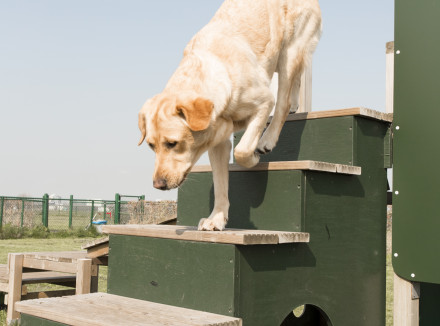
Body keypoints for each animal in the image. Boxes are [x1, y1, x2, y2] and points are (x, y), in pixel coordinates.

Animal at [139, 0, 322, 229]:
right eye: (150, 146)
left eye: (172, 143)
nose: (158, 184)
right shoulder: (218, 144)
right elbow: (220, 184)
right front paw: (216, 218)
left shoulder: (264, 102)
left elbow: (242, 150)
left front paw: (253, 158)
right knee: (296, 81)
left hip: (289, 51)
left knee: (283, 101)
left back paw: (268, 139)